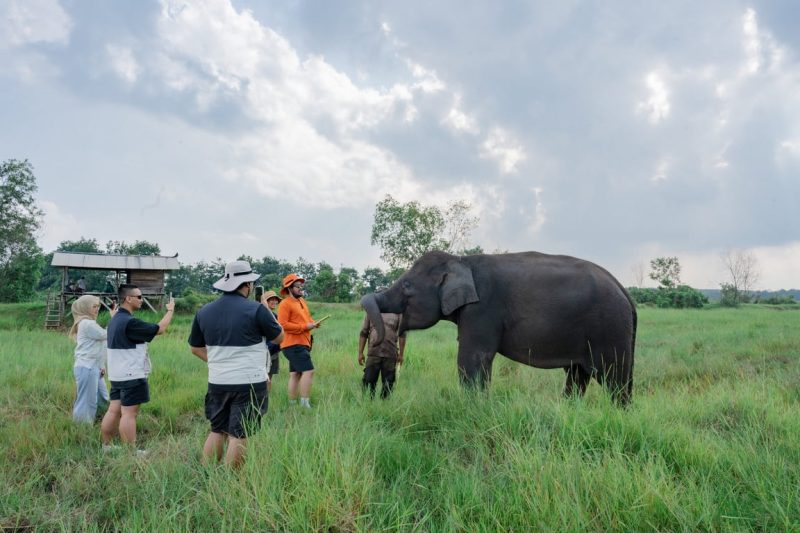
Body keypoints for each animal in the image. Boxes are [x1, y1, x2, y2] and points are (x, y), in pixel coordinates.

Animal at [360, 249, 636, 404]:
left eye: (406, 285)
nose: (379, 339)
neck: (461, 260)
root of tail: (624, 291)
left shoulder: (483, 308)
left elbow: (471, 359)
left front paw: (473, 409)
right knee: (578, 376)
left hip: (609, 329)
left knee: (614, 380)